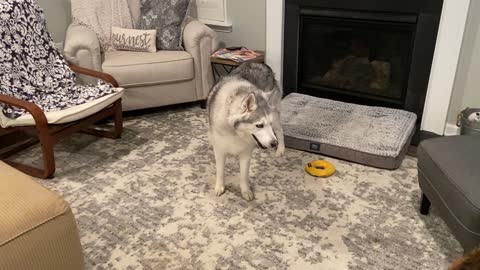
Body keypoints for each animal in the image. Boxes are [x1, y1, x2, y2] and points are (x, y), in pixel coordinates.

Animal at [207, 62, 284, 199]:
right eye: (259, 125)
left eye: (268, 124)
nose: (273, 143)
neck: (235, 132)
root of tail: (262, 64)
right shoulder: (219, 150)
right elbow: (220, 171)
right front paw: (220, 187)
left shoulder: (246, 153)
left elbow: (243, 175)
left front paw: (245, 191)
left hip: (275, 117)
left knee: (280, 132)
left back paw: (281, 149)